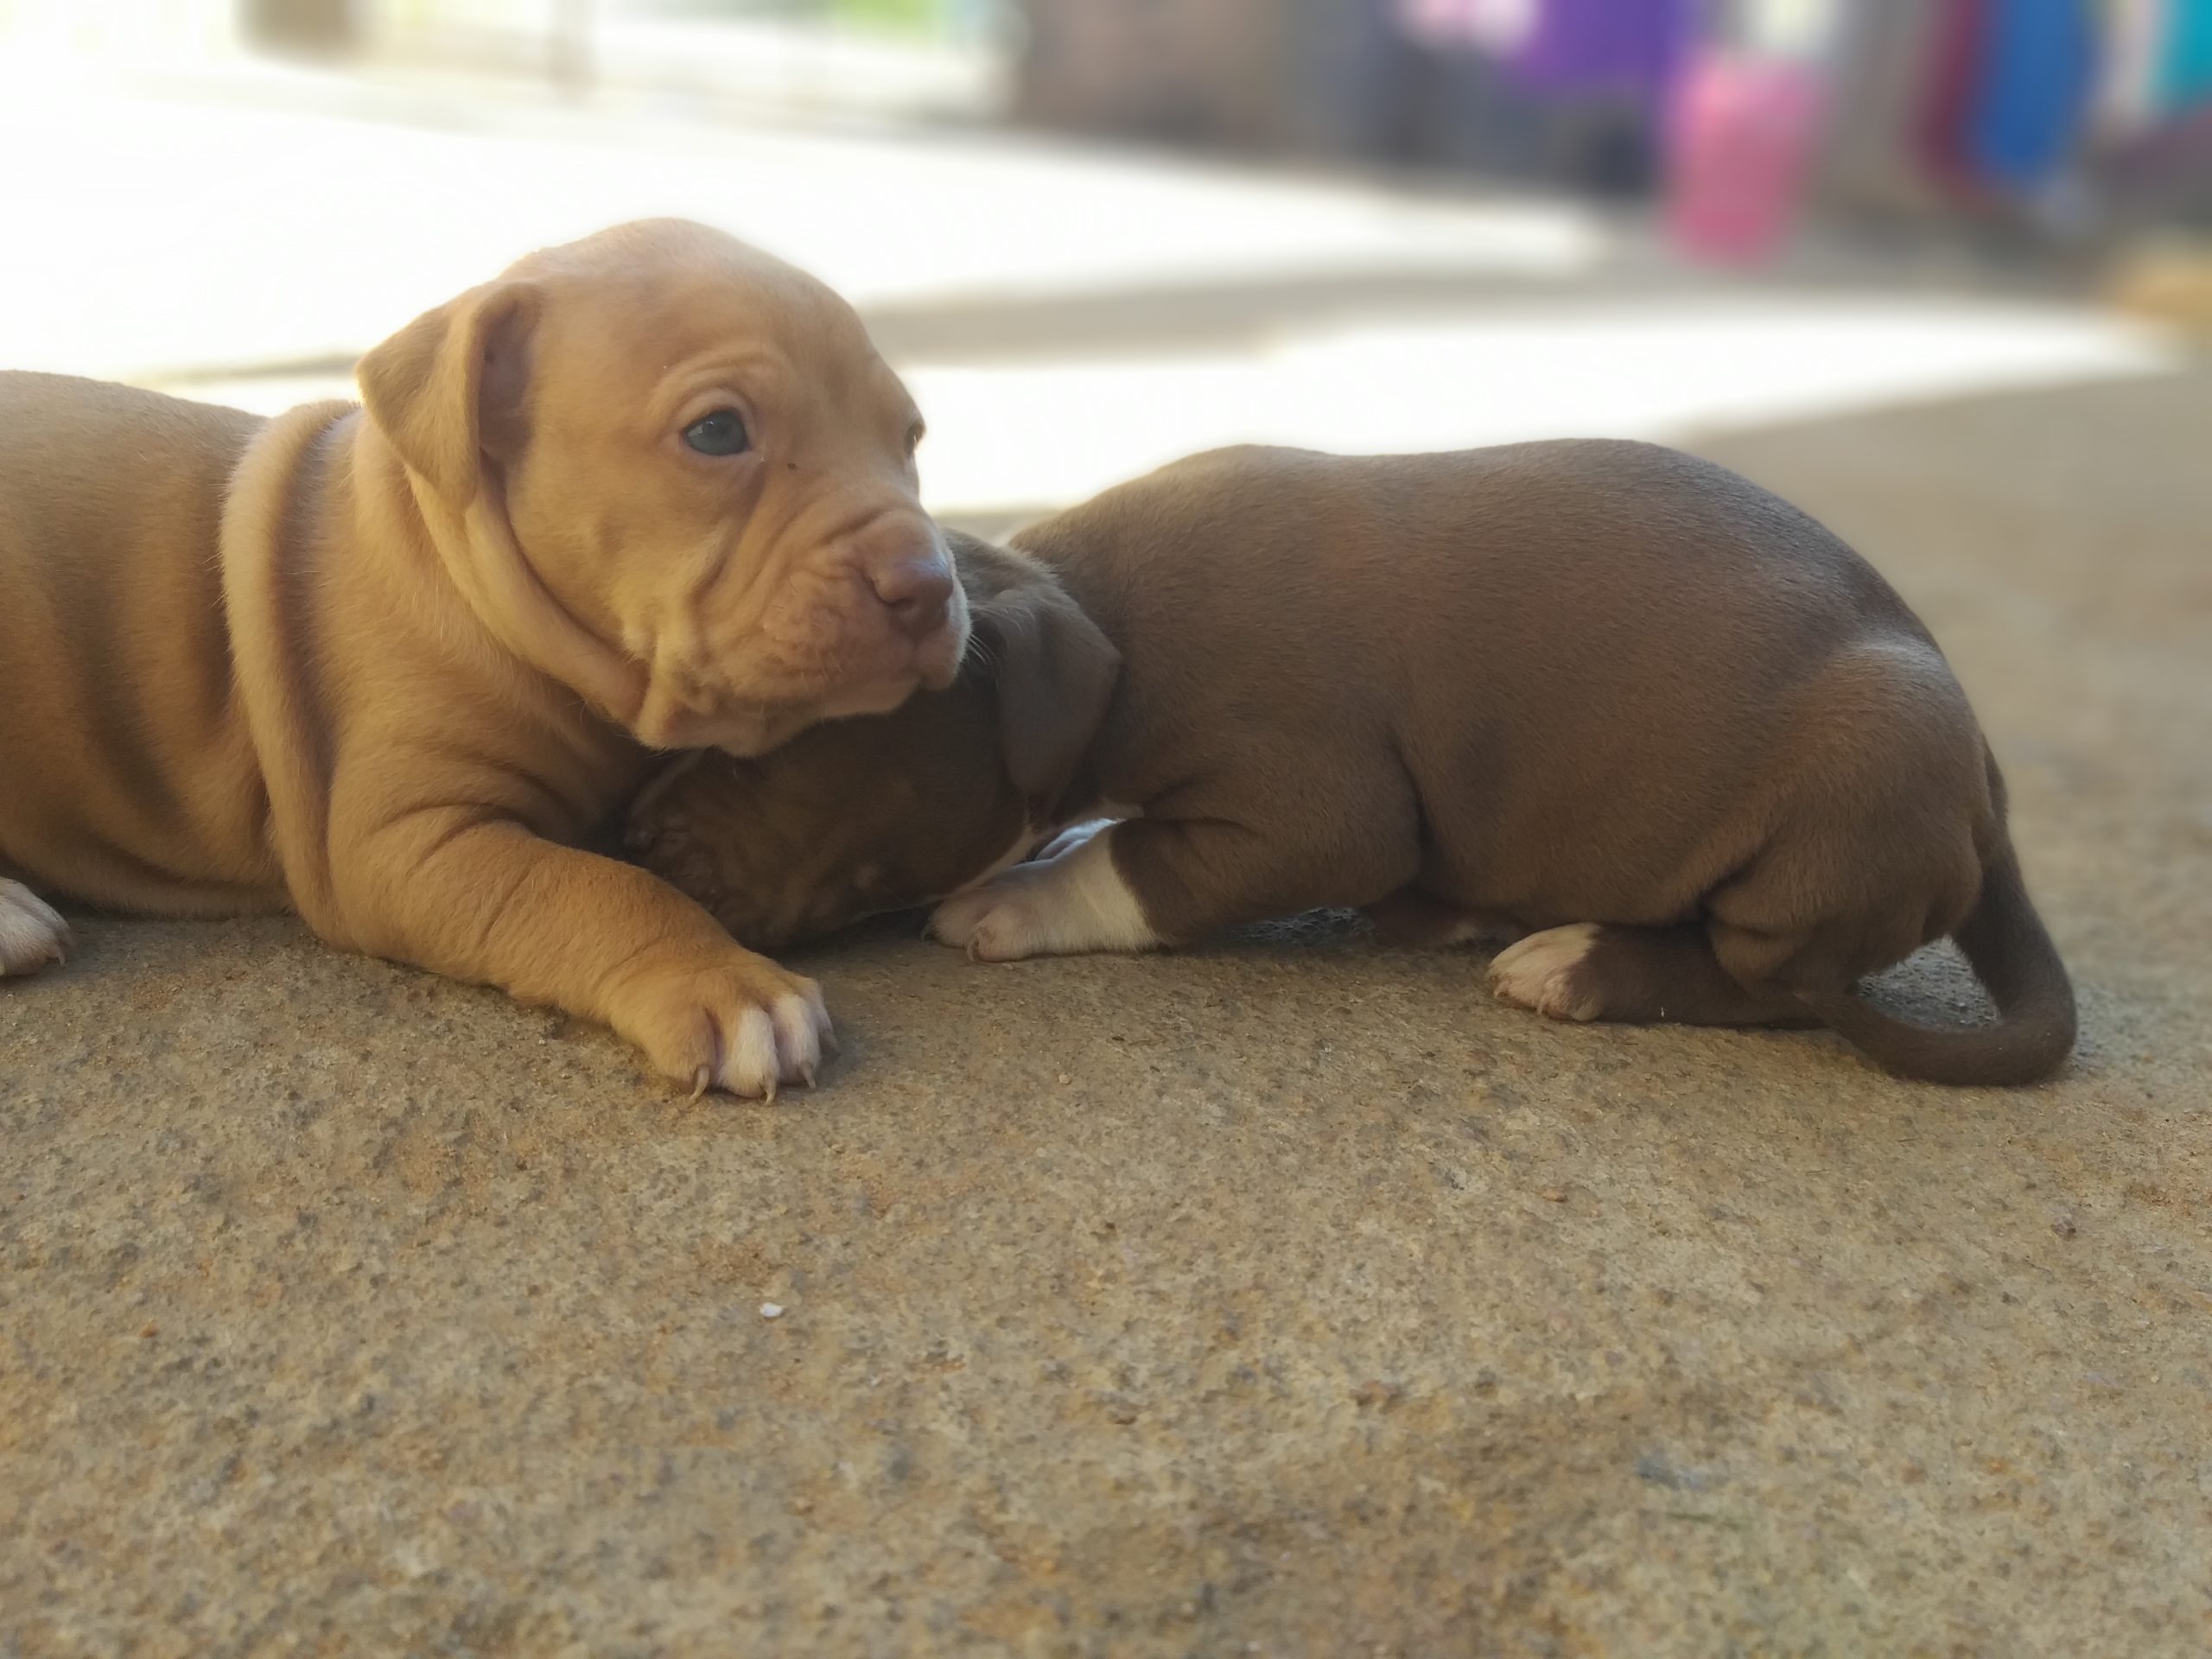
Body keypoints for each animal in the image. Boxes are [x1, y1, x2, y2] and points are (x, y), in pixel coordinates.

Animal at [2, 224, 969, 1106]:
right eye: (718, 431)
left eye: (912, 438)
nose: (927, 585)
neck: (465, 573)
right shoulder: (406, 840)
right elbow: (594, 886)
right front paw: (728, 984)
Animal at [632, 442, 2079, 1092]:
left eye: (784, 740)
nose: (642, 835)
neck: (1094, 609)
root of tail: (1992, 790)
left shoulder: (1313, 807)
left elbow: (1139, 863)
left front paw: (1017, 897)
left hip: (1842, 801)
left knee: (1777, 987)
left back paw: (1582, 963)